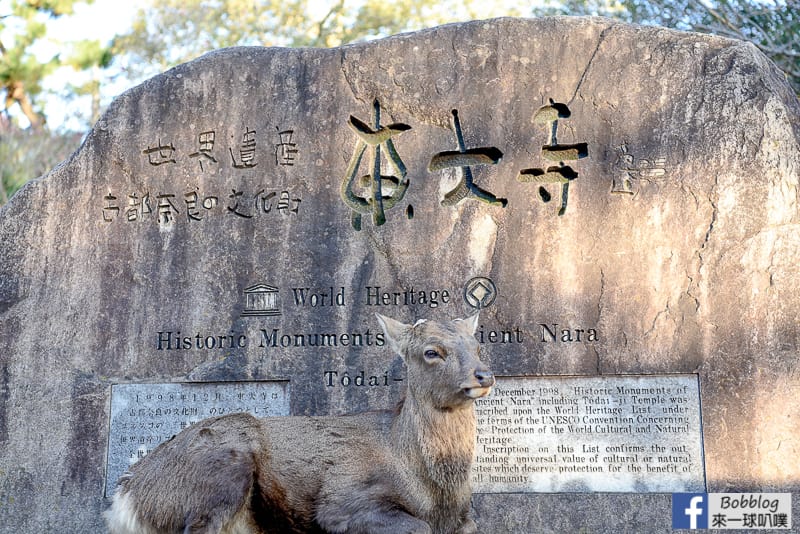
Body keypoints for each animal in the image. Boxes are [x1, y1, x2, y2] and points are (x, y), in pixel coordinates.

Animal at [104, 314, 494, 534]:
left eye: (477, 344)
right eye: (431, 351)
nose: (484, 375)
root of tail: (126, 496)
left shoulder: (466, 519)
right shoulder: (343, 502)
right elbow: (416, 527)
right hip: (221, 468)